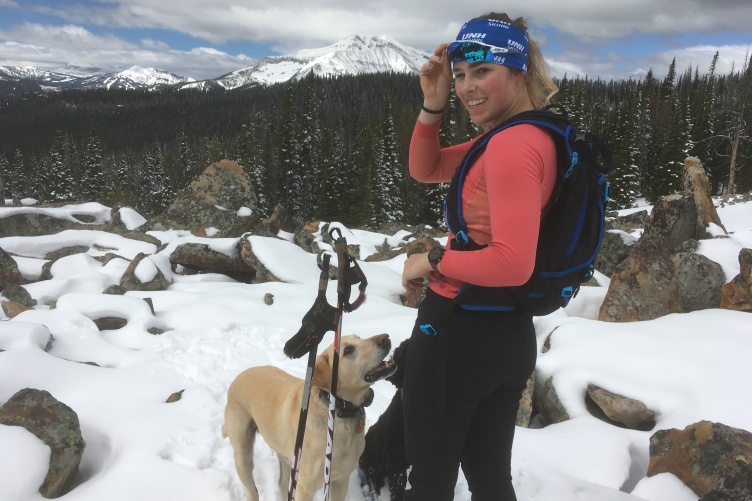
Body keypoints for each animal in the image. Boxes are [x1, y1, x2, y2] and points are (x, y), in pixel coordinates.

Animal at [222, 332, 396, 500]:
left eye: (359, 338)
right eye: (348, 350)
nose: (385, 337)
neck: (336, 412)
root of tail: (238, 377)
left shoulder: (340, 481)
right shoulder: (305, 488)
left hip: (287, 458)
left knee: (282, 484)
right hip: (243, 455)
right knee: (252, 489)